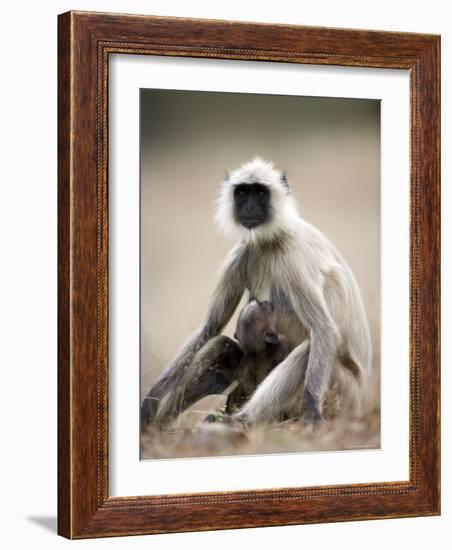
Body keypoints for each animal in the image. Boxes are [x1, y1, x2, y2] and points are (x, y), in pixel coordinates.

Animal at [140, 157, 370, 430]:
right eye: (242, 193)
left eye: (260, 193)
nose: (249, 206)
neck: (270, 240)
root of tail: (358, 405)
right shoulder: (240, 253)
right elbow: (210, 327)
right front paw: (151, 399)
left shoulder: (292, 256)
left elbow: (324, 329)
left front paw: (311, 412)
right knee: (220, 346)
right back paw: (161, 427)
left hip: (341, 395)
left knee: (307, 351)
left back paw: (239, 421)